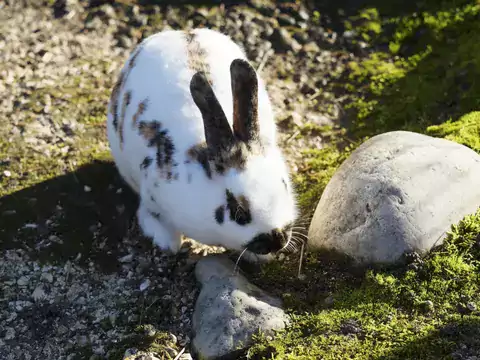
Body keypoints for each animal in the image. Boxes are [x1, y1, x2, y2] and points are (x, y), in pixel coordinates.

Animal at [107, 29, 298, 258]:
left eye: (284, 185)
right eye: (239, 213)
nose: (277, 240)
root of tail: (181, 32)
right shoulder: (152, 194)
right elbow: (152, 215)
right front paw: (166, 242)